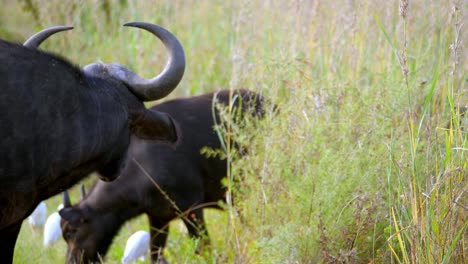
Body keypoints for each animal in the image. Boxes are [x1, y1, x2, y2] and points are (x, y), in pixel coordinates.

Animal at [57, 89, 266, 262]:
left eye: (70, 232)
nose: (71, 261)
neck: (141, 167)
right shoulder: (158, 219)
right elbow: (155, 255)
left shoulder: (192, 208)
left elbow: (203, 248)